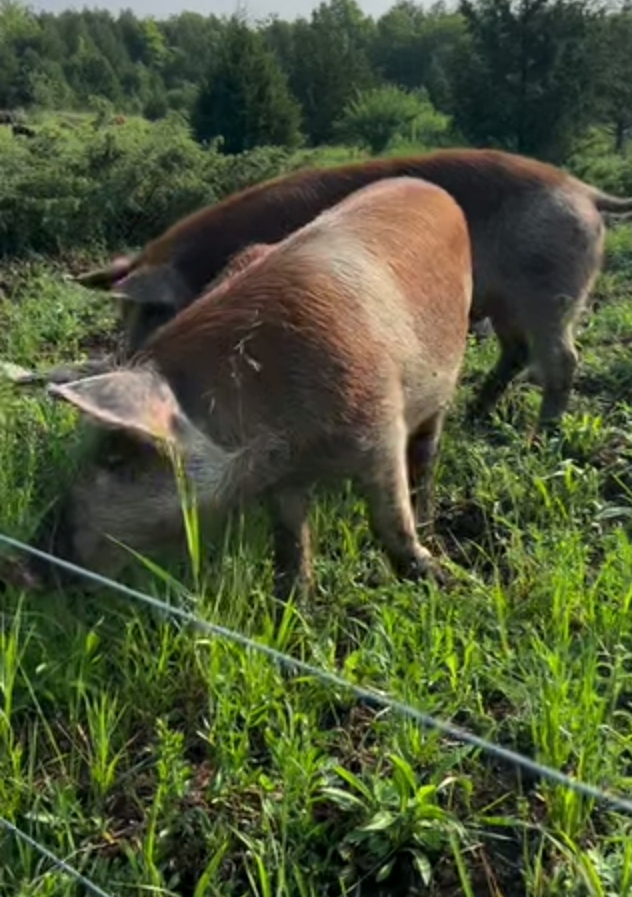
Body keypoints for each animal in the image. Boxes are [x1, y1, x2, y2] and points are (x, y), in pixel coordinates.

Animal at [20, 177, 472, 599]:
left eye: (116, 456)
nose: (21, 568)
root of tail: (428, 187)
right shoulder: (284, 478)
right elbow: (290, 537)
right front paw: (292, 602)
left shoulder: (382, 427)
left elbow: (390, 517)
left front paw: (440, 580)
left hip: (444, 379)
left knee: (426, 454)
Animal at [56, 147, 632, 428]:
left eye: (151, 312)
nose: (127, 363)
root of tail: (585, 191)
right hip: (509, 300)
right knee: (515, 352)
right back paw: (477, 413)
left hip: (551, 293)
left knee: (562, 359)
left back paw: (544, 435)